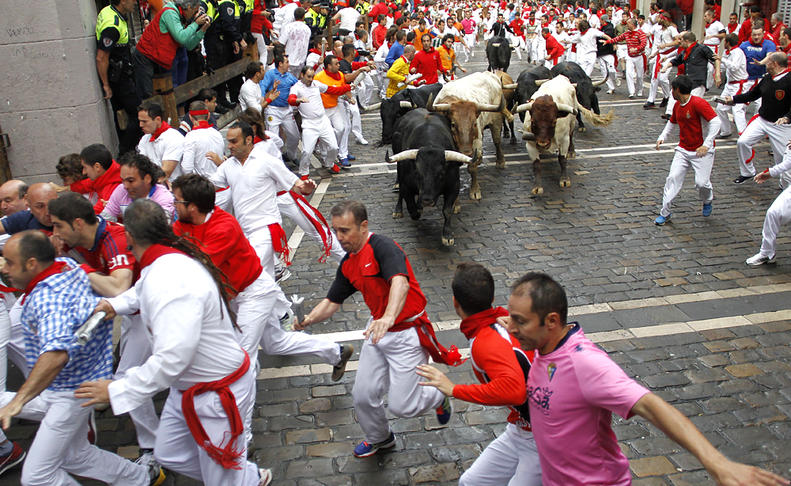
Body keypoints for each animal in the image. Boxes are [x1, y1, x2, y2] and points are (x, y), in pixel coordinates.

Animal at [388, 109, 474, 247]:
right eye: (417, 173)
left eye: (441, 174)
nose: (427, 200)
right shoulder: (407, 185)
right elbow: (411, 207)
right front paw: (417, 210)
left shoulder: (454, 186)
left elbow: (447, 210)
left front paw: (447, 235)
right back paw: (398, 210)